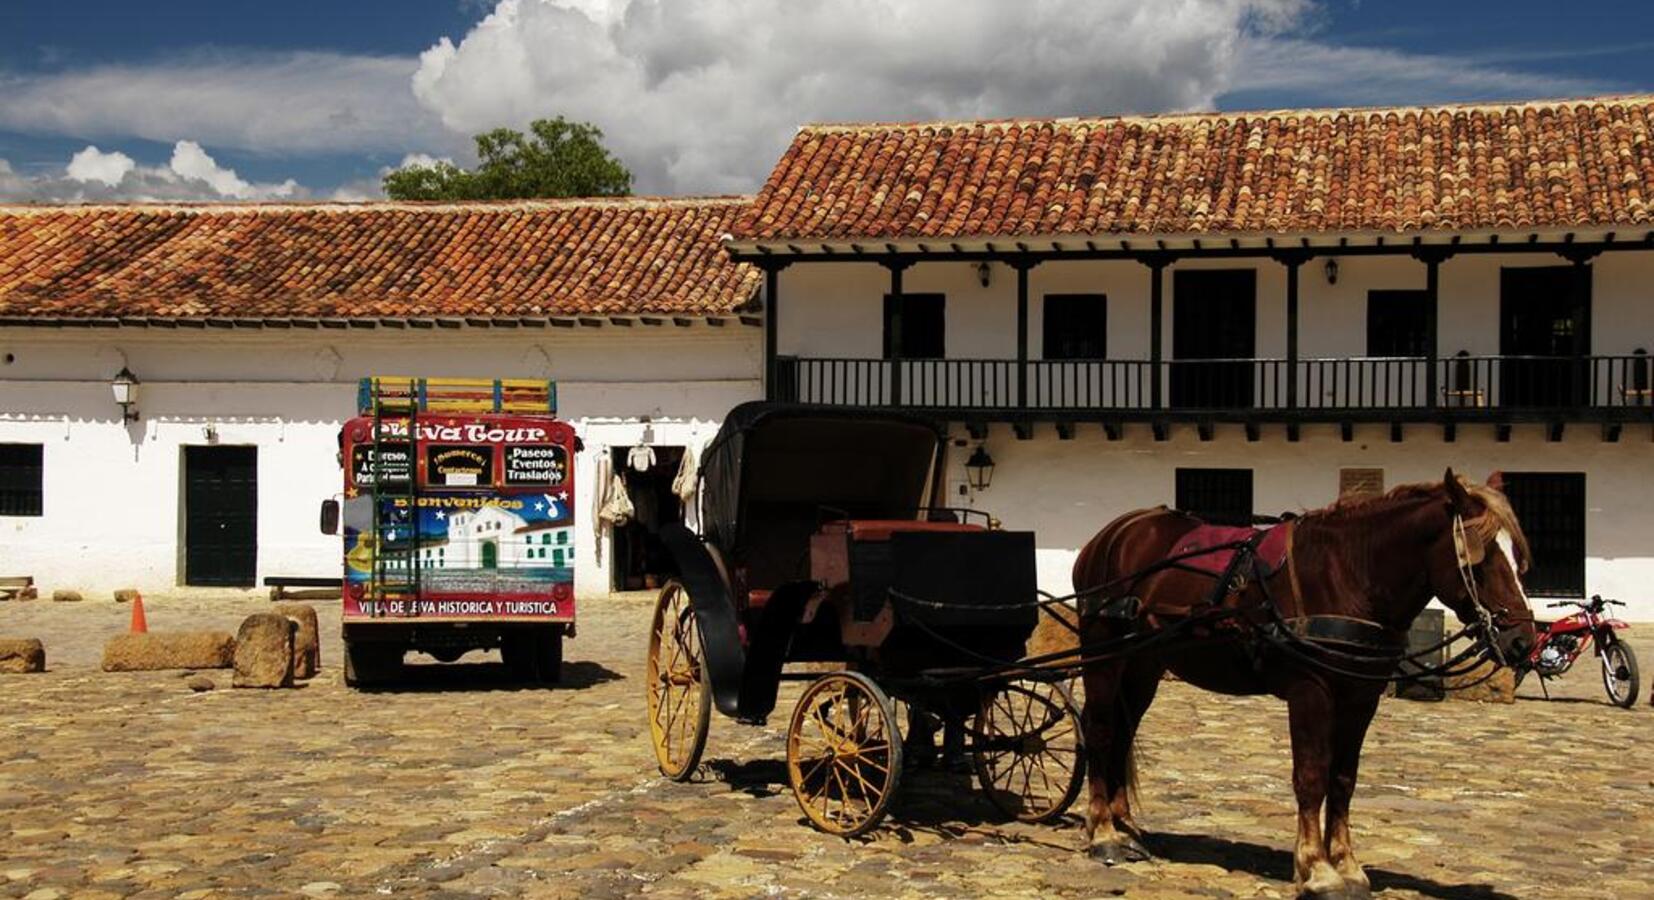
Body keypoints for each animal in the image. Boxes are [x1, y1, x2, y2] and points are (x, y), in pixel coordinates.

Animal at [1071, 469, 1534, 900]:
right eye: (1480, 560)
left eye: (1519, 558)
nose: (1523, 640)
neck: (1349, 574)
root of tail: (1113, 533)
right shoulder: (1311, 690)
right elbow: (1311, 776)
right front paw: (1317, 869)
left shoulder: (1361, 697)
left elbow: (1343, 779)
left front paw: (1347, 865)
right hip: (1103, 653)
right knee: (1101, 731)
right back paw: (1104, 833)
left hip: (1144, 663)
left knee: (1123, 733)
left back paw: (1126, 827)